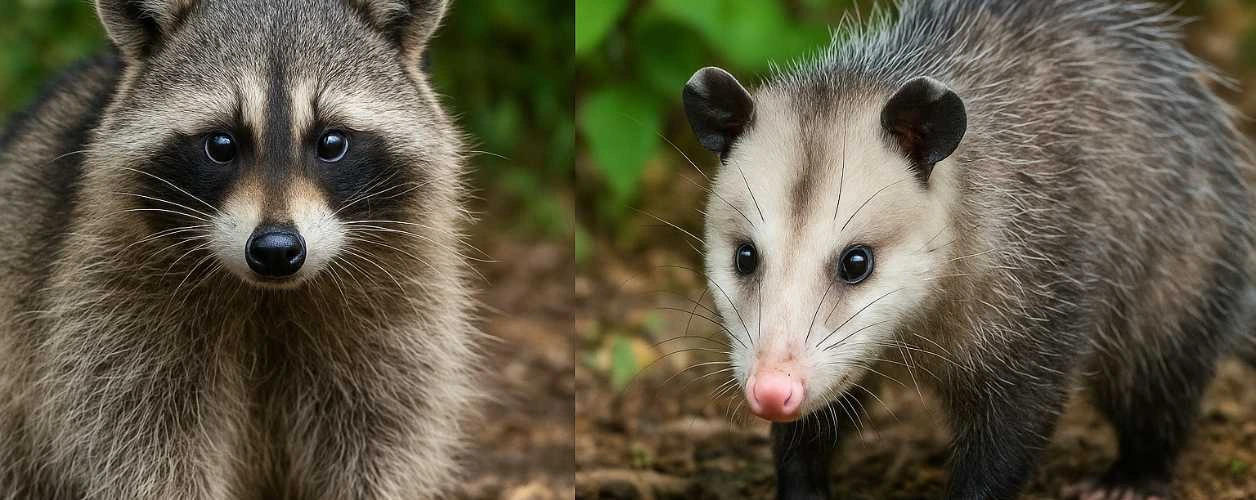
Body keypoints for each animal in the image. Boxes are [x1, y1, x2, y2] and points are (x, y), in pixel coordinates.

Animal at [0, 1, 480, 498]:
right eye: (221, 143)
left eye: (331, 142)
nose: (276, 249)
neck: (270, 295)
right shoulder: (110, 299)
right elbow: (139, 439)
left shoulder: (398, 302)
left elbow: (385, 430)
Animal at [682, 1, 1256, 498]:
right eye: (745, 257)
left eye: (856, 262)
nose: (771, 390)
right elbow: (815, 426)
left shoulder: (1038, 289)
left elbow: (1018, 421)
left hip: (1181, 276)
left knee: (1158, 382)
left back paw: (1134, 477)